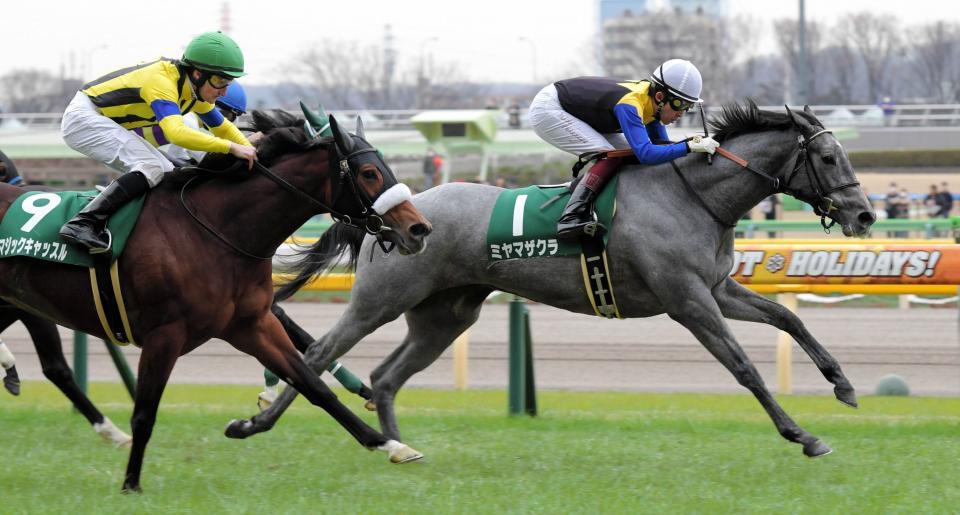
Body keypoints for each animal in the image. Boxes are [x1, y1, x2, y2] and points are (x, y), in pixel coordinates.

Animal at [0, 110, 432, 492]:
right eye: (369, 173)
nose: (419, 228)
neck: (215, 230)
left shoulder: (251, 325)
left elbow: (313, 385)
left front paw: (391, 444)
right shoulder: (165, 334)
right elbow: (144, 413)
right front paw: (131, 485)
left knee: (56, 368)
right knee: (59, 369)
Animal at [225, 104, 876, 460]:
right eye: (828, 159)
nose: (866, 214)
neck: (693, 194)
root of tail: (393, 210)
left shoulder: (716, 289)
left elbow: (787, 317)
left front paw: (844, 386)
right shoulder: (687, 300)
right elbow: (742, 366)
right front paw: (802, 434)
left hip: (446, 313)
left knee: (385, 378)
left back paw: (397, 447)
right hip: (380, 300)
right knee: (320, 355)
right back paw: (257, 422)